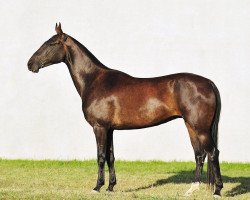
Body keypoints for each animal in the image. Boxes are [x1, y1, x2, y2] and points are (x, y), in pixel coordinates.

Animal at [27, 23, 223, 197]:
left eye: (51, 44)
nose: (30, 64)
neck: (94, 79)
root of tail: (209, 83)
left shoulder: (99, 127)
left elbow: (100, 156)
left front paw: (97, 187)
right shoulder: (110, 129)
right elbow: (110, 157)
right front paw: (110, 187)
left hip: (200, 128)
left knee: (213, 153)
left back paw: (218, 191)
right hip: (191, 126)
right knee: (199, 155)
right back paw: (191, 189)